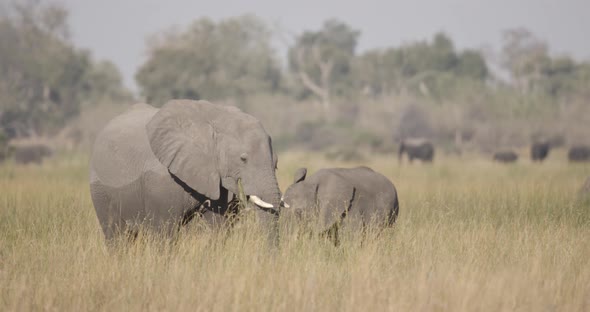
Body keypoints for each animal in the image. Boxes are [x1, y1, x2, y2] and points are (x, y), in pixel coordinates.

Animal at [91, 100, 284, 241]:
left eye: (276, 164)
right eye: (243, 159)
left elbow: (218, 226)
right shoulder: (161, 180)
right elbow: (165, 230)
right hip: (100, 189)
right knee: (116, 235)